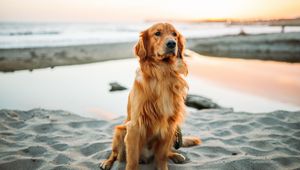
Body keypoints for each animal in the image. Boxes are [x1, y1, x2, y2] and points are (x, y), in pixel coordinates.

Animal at [99, 23, 200, 170]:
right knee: (115, 154)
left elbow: (162, 157)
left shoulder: (169, 126)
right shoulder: (134, 127)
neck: (163, 72)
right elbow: (132, 161)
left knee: (167, 152)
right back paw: (107, 162)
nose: (172, 43)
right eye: (157, 33)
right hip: (120, 131)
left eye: (174, 34)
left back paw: (176, 155)